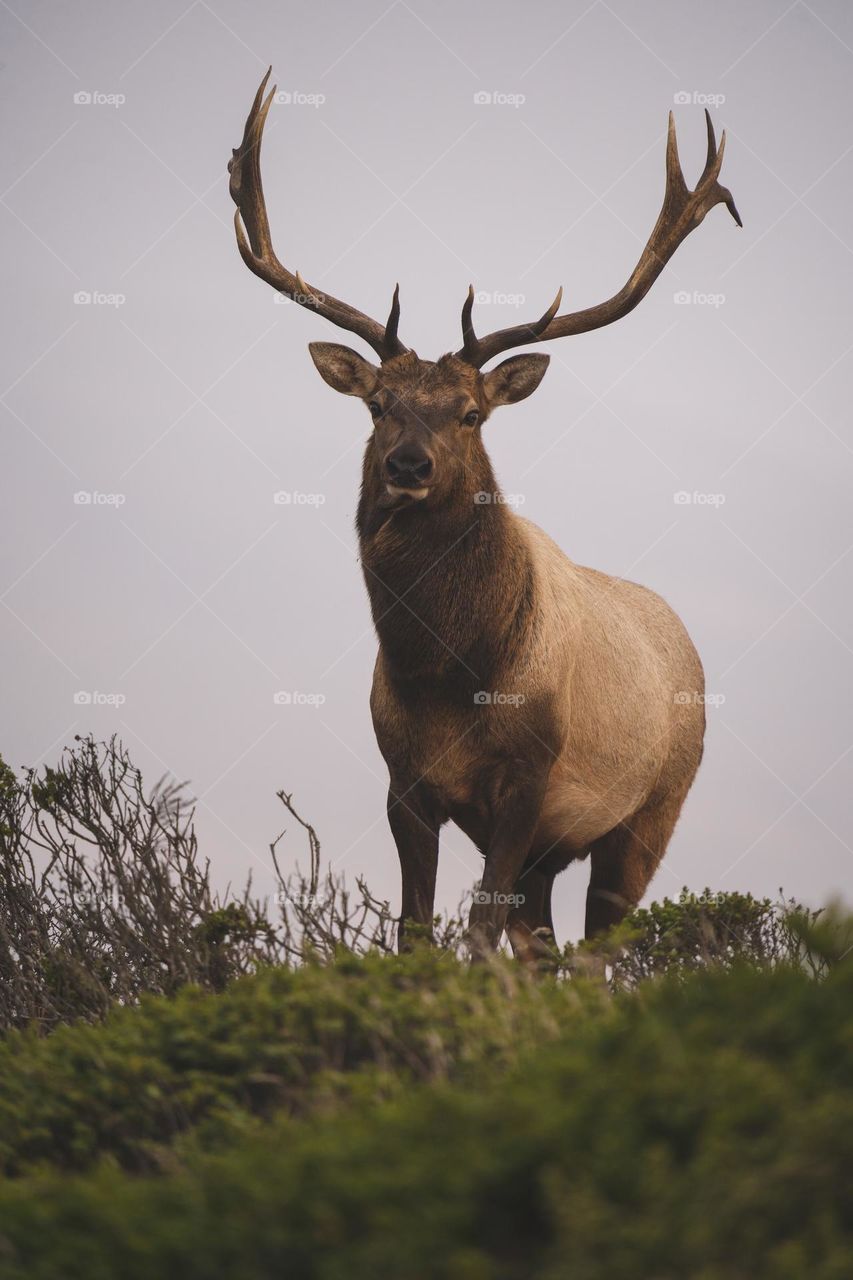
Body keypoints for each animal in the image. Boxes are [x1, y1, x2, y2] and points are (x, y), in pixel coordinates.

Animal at [227, 64, 737, 957]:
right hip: (553, 851)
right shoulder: (403, 783)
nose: (407, 465)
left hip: (652, 811)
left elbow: (476, 934)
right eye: (378, 406)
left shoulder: (528, 781)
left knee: (596, 949)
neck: (446, 675)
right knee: (543, 946)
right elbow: (416, 931)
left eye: (471, 414)